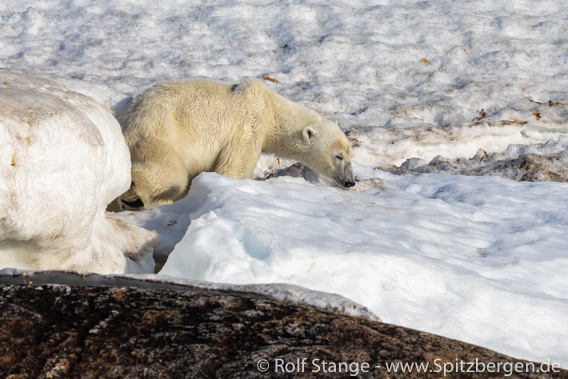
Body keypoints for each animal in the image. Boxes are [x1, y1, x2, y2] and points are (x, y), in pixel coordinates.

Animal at [117, 78, 352, 211]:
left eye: (350, 156)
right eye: (339, 156)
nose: (350, 182)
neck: (271, 109)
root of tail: (126, 120)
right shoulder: (248, 126)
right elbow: (234, 169)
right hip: (160, 129)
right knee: (170, 174)